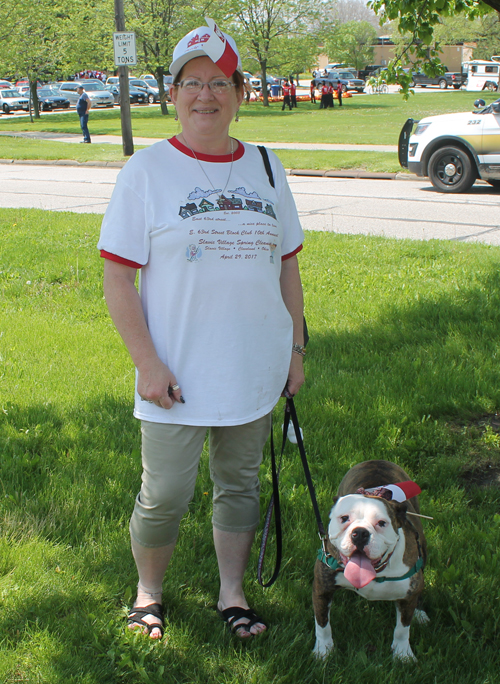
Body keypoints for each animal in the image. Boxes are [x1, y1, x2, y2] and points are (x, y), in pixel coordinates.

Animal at [312, 456, 426, 660]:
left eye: (382, 523)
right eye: (344, 518)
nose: (360, 533)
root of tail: (377, 460)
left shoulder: (407, 596)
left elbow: (403, 628)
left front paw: (403, 654)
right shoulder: (322, 588)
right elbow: (322, 624)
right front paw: (323, 651)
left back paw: (420, 614)